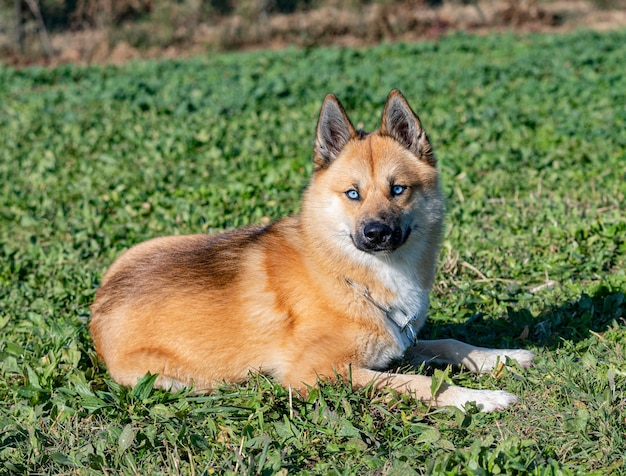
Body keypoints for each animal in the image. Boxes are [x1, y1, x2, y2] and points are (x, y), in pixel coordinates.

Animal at [90, 89, 532, 412]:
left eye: (398, 189)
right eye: (353, 194)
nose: (376, 234)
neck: (350, 274)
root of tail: (97, 307)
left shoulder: (399, 339)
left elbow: (450, 343)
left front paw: (502, 356)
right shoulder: (317, 372)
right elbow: (419, 382)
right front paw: (479, 398)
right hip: (179, 379)